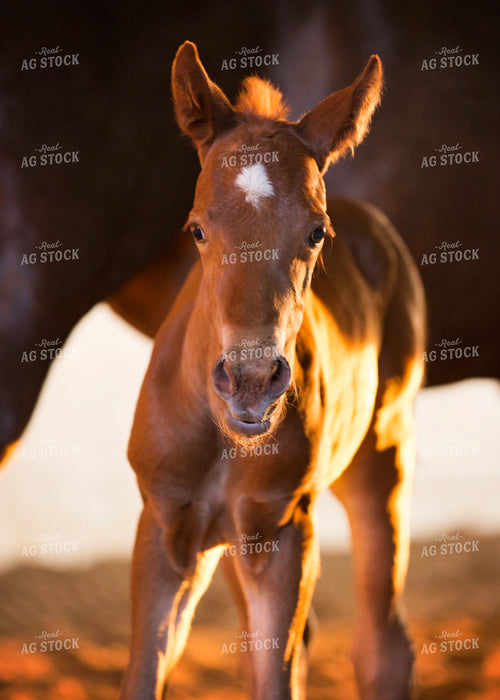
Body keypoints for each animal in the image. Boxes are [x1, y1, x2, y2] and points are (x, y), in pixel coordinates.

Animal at [121, 40, 426, 700]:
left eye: (316, 233)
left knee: (382, 645)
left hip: (382, 457)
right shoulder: (165, 526)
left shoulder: (282, 531)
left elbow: (276, 676)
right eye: (197, 228)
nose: (253, 382)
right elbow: (145, 676)